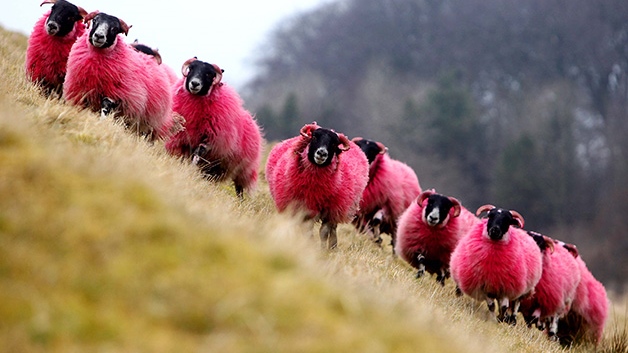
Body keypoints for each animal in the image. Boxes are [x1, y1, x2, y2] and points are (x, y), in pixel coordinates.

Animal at [164, 57, 262, 195]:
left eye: (209, 74)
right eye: (191, 68)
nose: (195, 83)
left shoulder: (211, 140)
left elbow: (198, 154)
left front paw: (192, 167)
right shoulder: (181, 140)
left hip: (245, 170)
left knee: (239, 188)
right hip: (218, 168)